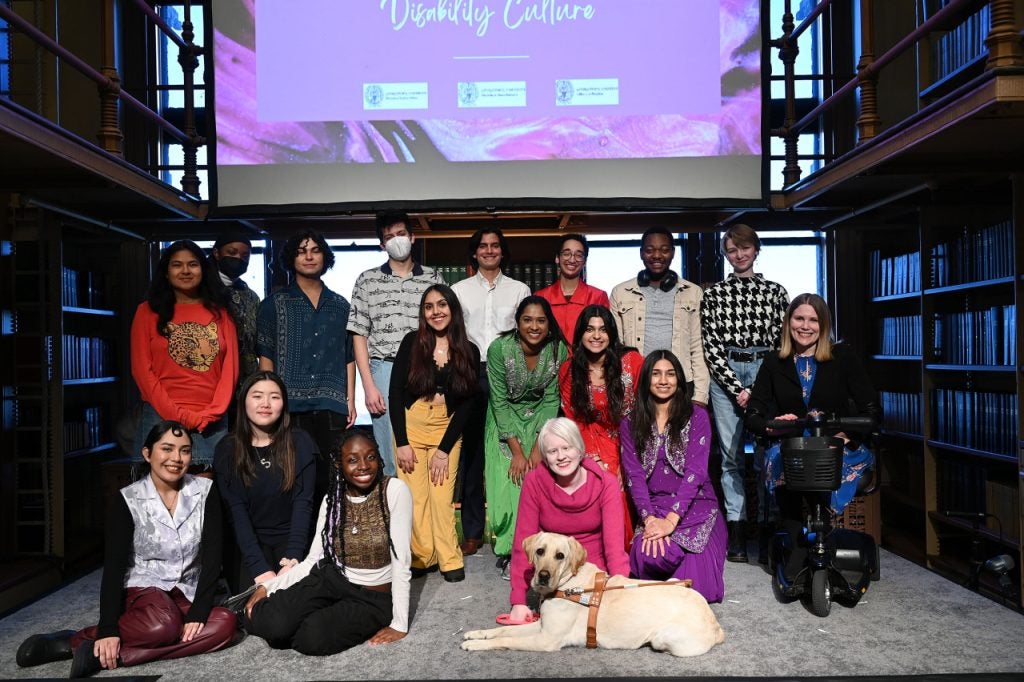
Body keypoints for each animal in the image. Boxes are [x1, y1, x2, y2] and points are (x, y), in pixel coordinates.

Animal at [460, 528, 724, 655]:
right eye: (539, 551)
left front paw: (477, 646)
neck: (568, 584)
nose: (542, 577)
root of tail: (716, 624)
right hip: (675, 580)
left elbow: (506, 640)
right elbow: (503, 629)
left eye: (560, 556)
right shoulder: (542, 627)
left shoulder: (546, 639)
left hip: (662, 637)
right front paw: (477, 634)